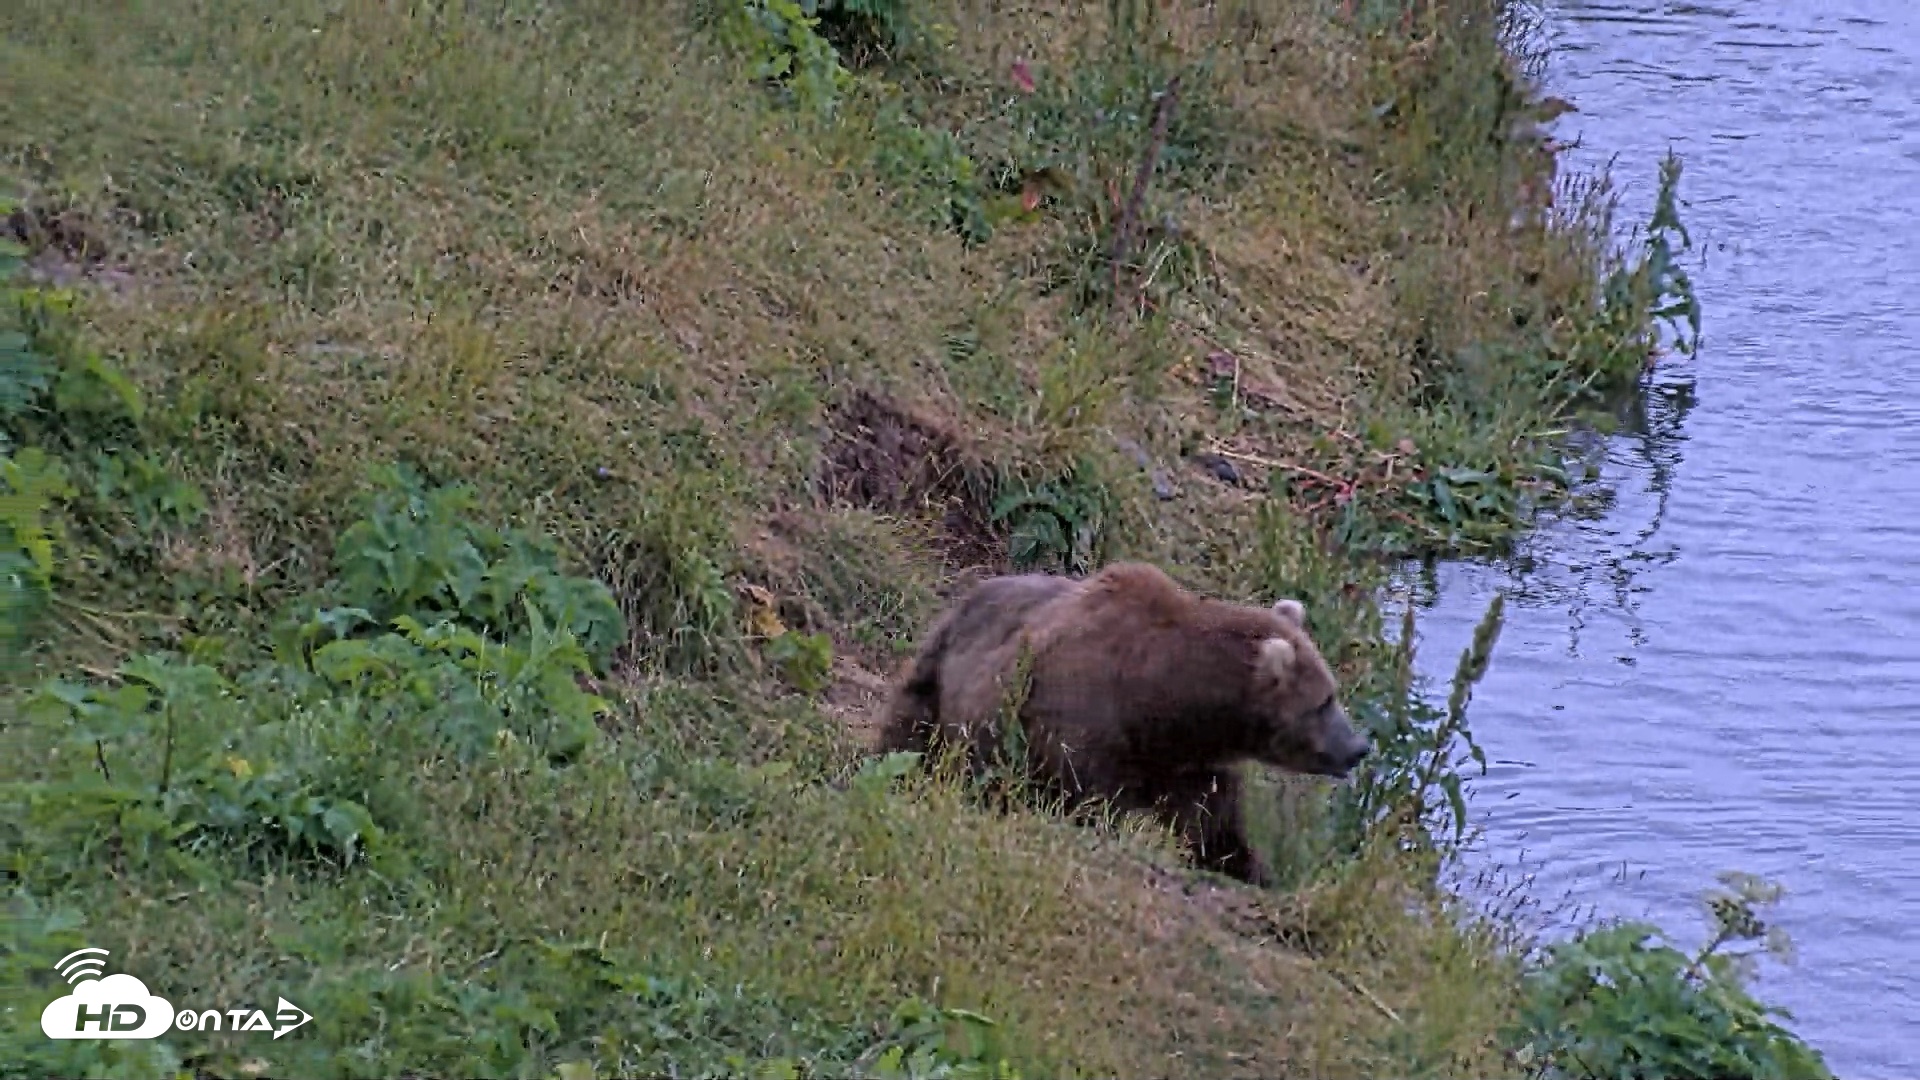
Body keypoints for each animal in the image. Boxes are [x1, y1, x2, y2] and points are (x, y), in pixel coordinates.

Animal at [874, 561, 1371, 887]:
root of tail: (970, 590)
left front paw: (1250, 866)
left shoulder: (1190, 762)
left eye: (1332, 692)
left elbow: (1212, 820)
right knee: (913, 734)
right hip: (945, 675)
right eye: (1323, 702)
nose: (1358, 747)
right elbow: (1088, 795)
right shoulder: (1081, 717)